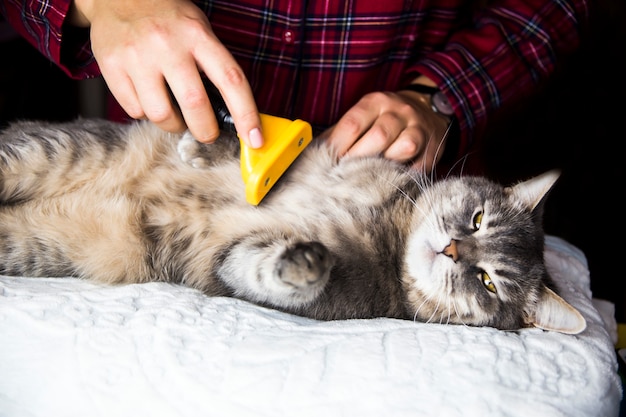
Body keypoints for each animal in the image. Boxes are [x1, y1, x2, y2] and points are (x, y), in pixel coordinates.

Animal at [0, 118, 584, 334]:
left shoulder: (233, 261)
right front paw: (207, 144)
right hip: (40, 153)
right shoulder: (327, 156)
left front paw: (306, 260)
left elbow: (263, 266)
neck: (391, 230)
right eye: (478, 219)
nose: (452, 250)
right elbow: (254, 146)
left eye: (489, 282)